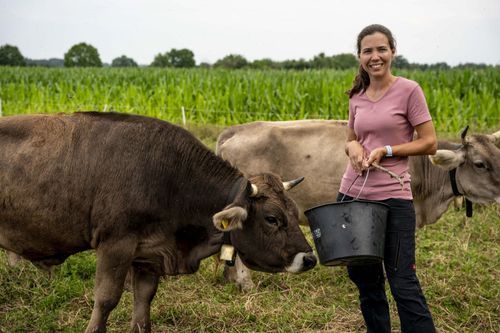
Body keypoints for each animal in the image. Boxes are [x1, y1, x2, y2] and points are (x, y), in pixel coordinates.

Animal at [0, 113, 314, 330]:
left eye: (293, 210)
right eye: (272, 219)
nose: (309, 258)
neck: (169, 178)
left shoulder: (148, 257)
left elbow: (143, 306)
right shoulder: (115, 247)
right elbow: (106, 300)